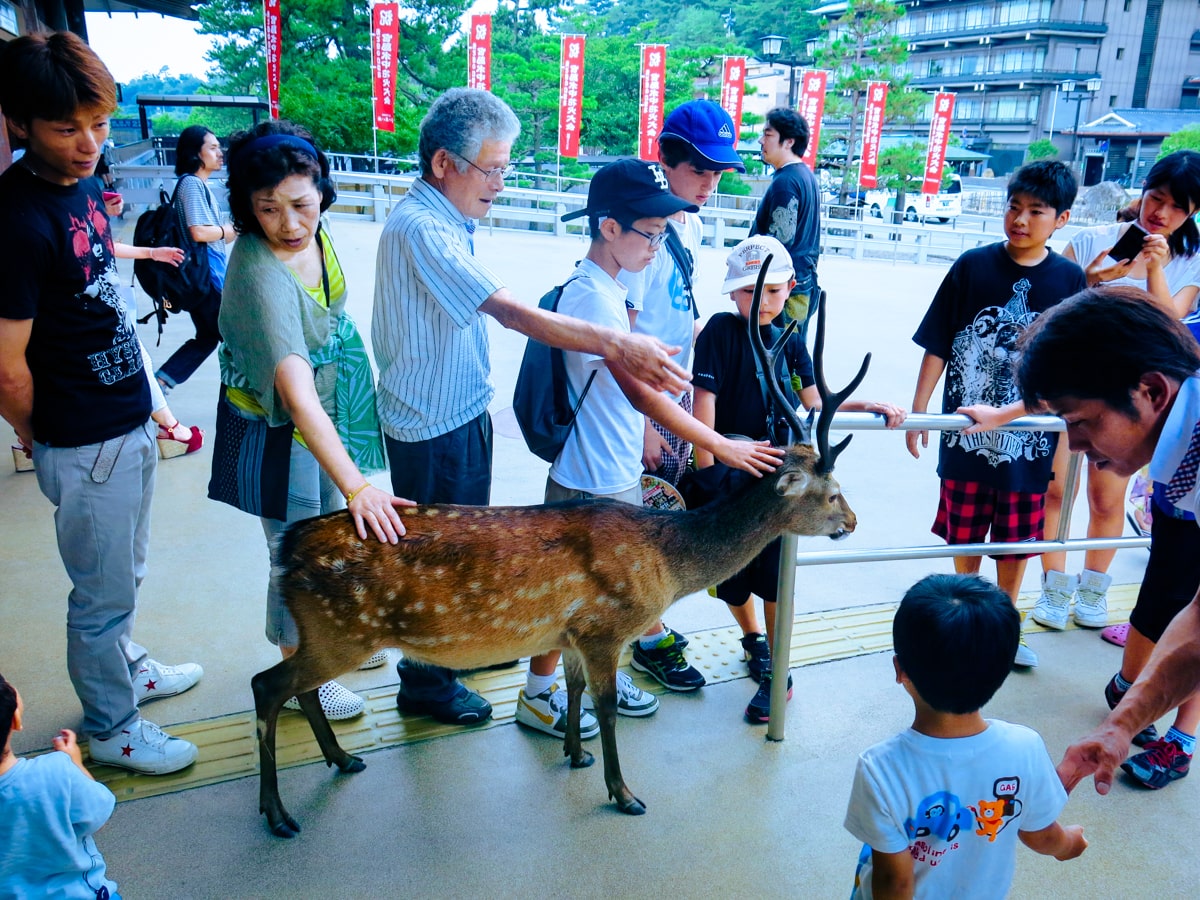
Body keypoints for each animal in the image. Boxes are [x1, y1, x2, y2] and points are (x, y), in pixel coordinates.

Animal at [255, 264, 873, 844]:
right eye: (832, 491)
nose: (852, 521)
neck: (665, 565)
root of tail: (288, 548)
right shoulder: (604, 627)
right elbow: (606, 709)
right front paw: (624, 794)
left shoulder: (572, 631)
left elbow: (572, 690)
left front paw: (576, 753)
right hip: (342, 629)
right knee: (268, 687)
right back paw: (278, 813)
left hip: (327, 632)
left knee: (295, 688)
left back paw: (342, 759)